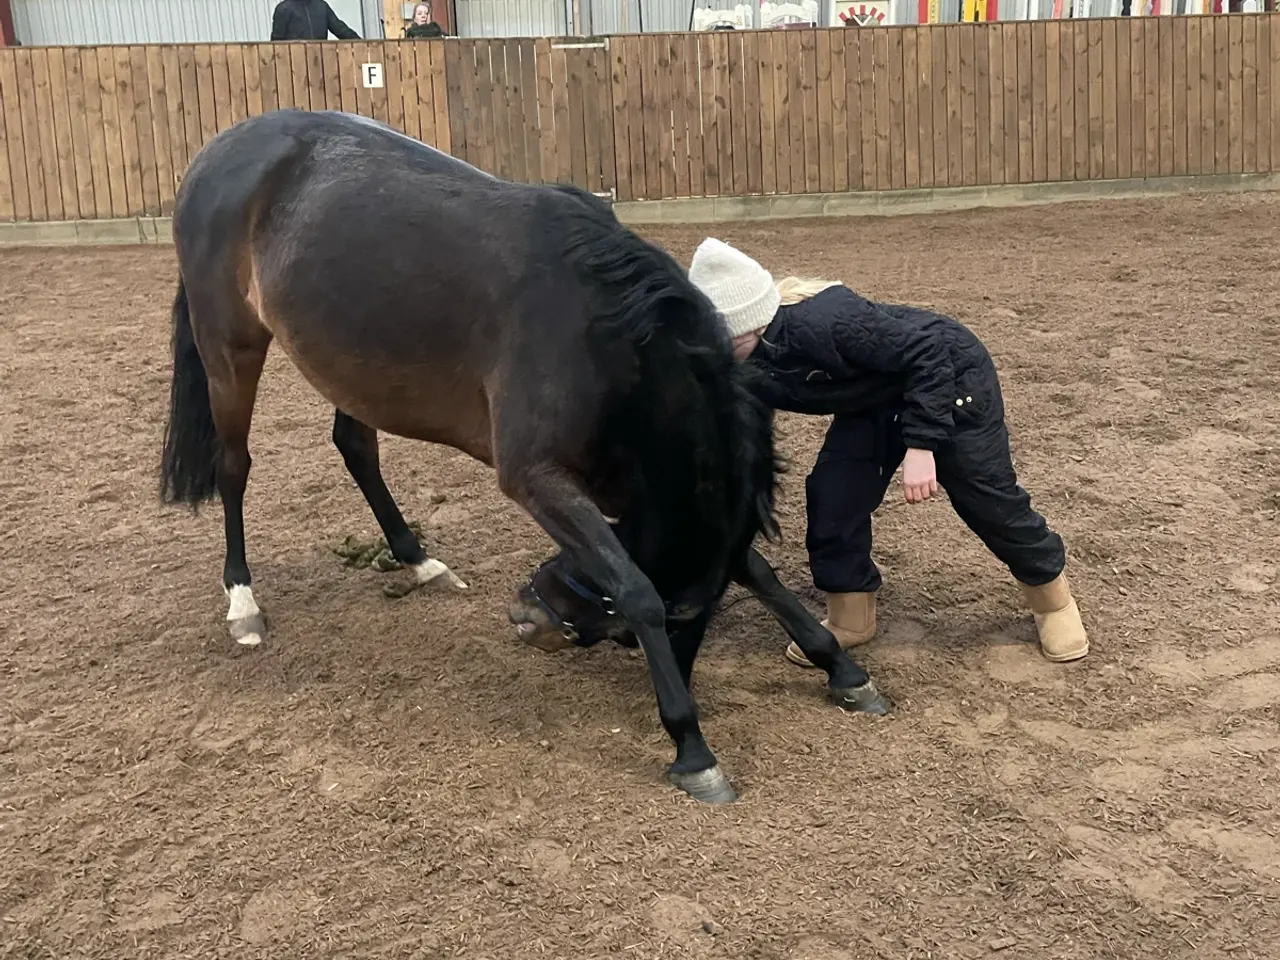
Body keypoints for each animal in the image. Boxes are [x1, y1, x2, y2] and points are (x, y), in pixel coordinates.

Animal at [158, 108, 886, 805]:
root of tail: (220, 150)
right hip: (230, 346)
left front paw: (840, 667)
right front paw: (693, 749)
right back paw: (243, 603)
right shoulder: (536, 479)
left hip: (352, 366)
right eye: (670, 624)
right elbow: (635, 585)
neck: (604, 337)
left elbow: (755, 572)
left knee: (356, 449)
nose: (529, 614)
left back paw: (417, 559)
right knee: (234, 468)